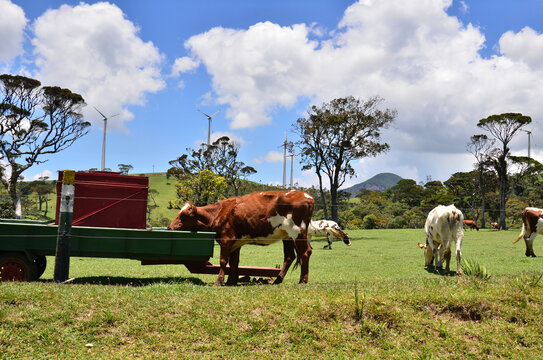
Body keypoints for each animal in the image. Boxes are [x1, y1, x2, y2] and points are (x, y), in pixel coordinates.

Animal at [166, 190, 314, 286]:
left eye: (183, 216)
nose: (169, 227)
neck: (219, 213)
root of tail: (307, 196)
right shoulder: (236, 243)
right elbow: (234, 262)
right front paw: (231, 281)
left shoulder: (226, 240)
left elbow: (223, 260)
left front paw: (219, 281)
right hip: (287, 236)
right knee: (289, 256)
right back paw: (278, 280)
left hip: (297, 232)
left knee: (305, 252)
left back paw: (303, 280)